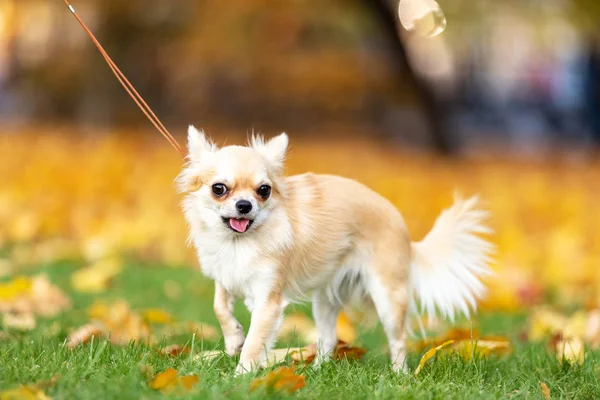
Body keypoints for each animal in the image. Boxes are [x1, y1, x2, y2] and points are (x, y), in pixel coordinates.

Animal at [176, 126, 494, 376]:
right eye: (219, 188)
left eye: (264, 190)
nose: (245, 205)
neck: (237, 242)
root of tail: (404, 231)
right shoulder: (226, 277)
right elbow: (220, 306)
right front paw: (233, 339)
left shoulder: (269, 301)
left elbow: (256, 341)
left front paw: (242, 374)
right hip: (325, 301)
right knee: (328, 339)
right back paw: (317, 371)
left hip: (388, 296)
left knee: (398, 340)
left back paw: (399, 375)